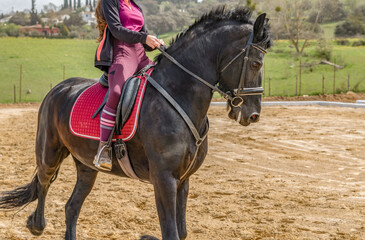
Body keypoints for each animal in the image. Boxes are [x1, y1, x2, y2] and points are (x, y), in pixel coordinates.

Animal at [0, 6, 270, 239]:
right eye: (256, 63)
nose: (253, 115)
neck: (178, 93)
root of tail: (59, 87)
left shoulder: (183, 180)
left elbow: (181, 232)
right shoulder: (164, 179)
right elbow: (171, 233)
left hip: (86, 166)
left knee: (71, 207)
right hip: (50, 152)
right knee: (44, 183)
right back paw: (36, 225)